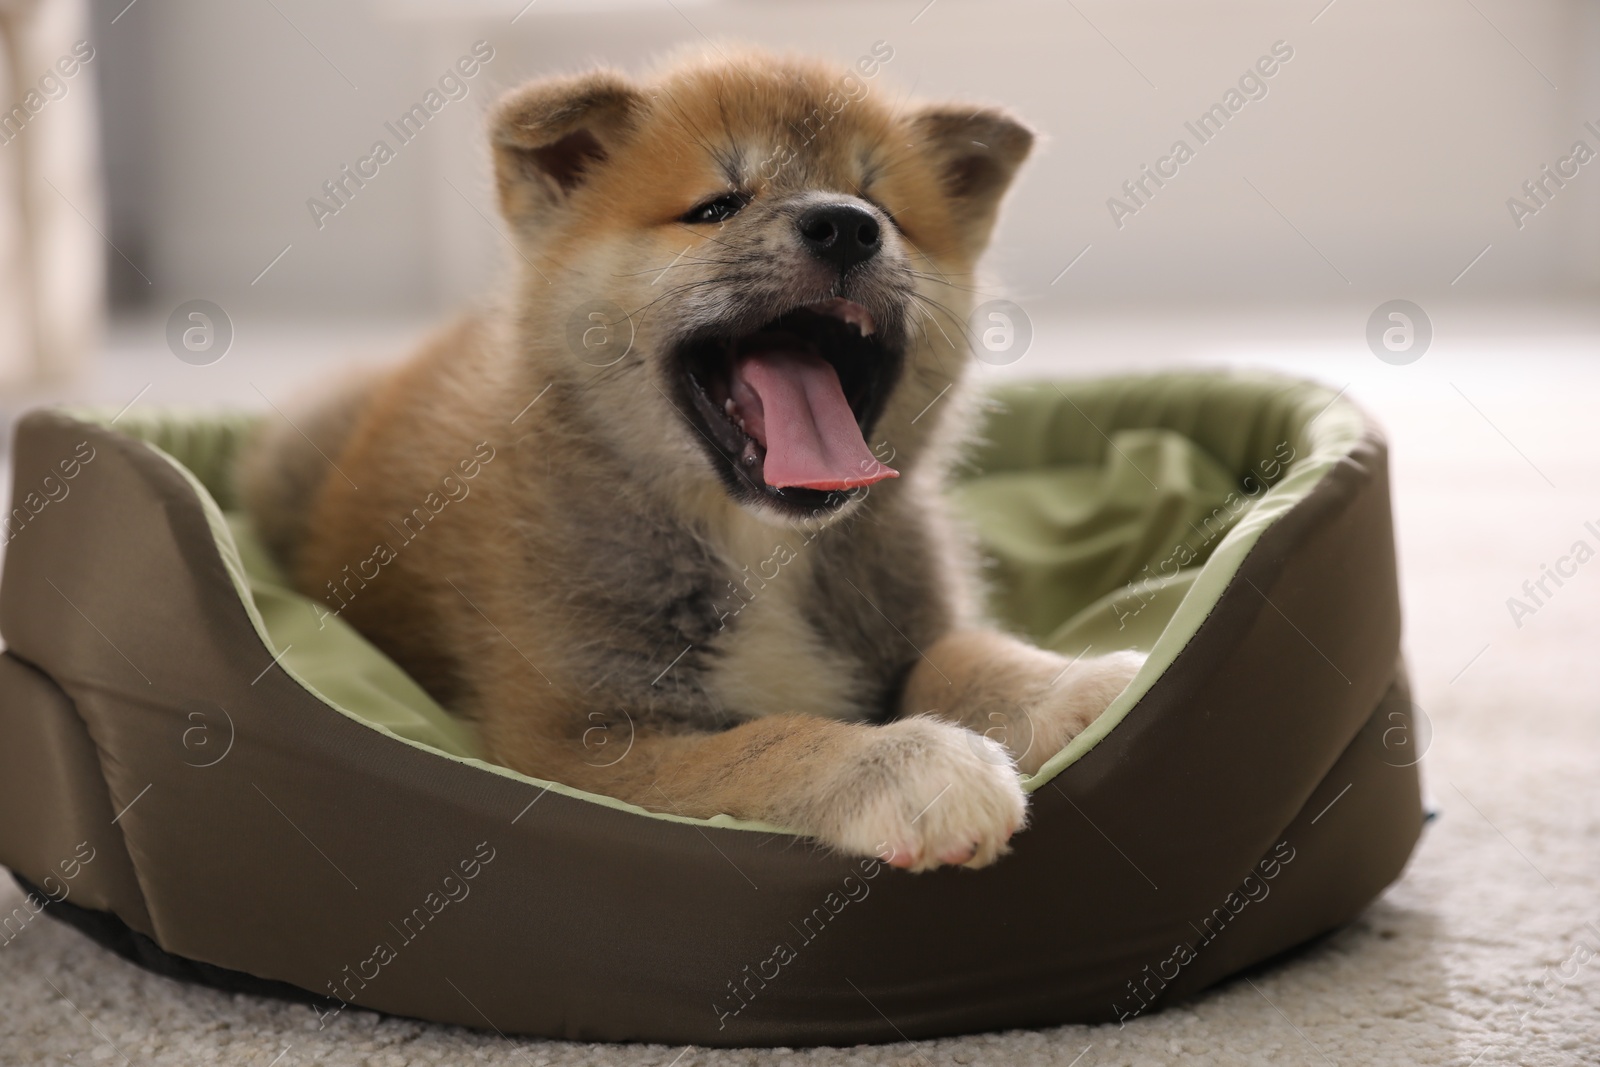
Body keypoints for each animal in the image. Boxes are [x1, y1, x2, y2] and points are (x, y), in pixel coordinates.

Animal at [243, 45, 1145, 870]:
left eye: (881, 205)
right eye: (716, 207)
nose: (848, 223)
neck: (758, 544)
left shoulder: (914, 619)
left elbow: (965, 652)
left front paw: (1075, 683)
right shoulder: (580, 745)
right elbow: (765, 740)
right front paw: (906, 760)